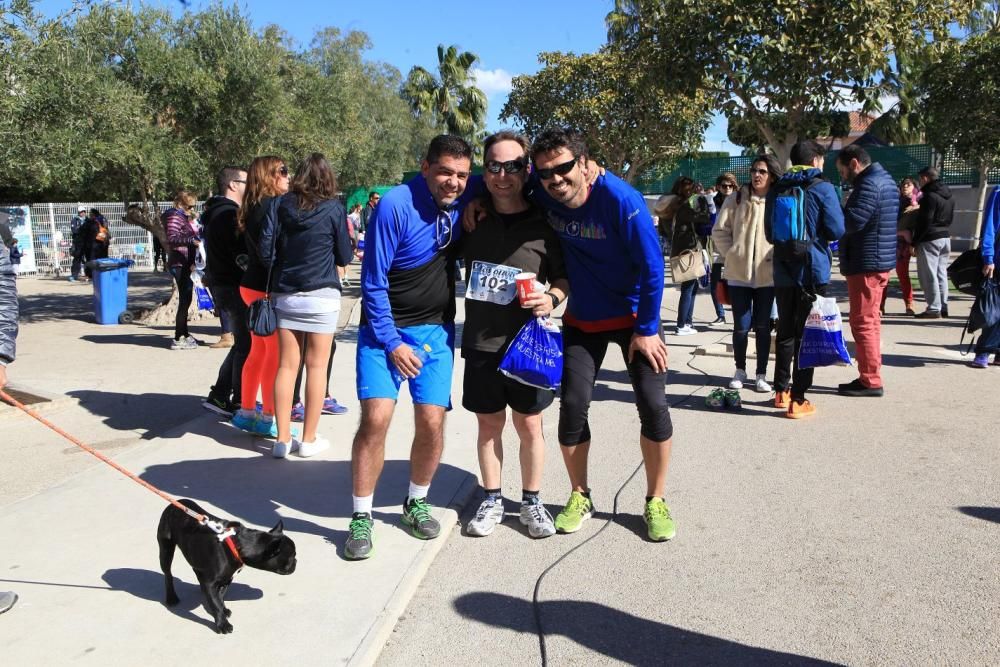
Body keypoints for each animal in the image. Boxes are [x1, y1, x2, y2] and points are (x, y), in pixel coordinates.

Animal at [156, 498, 294, 636]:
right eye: (292, 556)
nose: (296, 562)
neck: (240, 544)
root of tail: (175, 503)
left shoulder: (227, 578)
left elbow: (220, 596)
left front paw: (223, 610)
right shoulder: (211, 583)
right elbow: (216, 603)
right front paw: (222, 624)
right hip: (166, 550)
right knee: (168, 574)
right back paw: (171, 597)